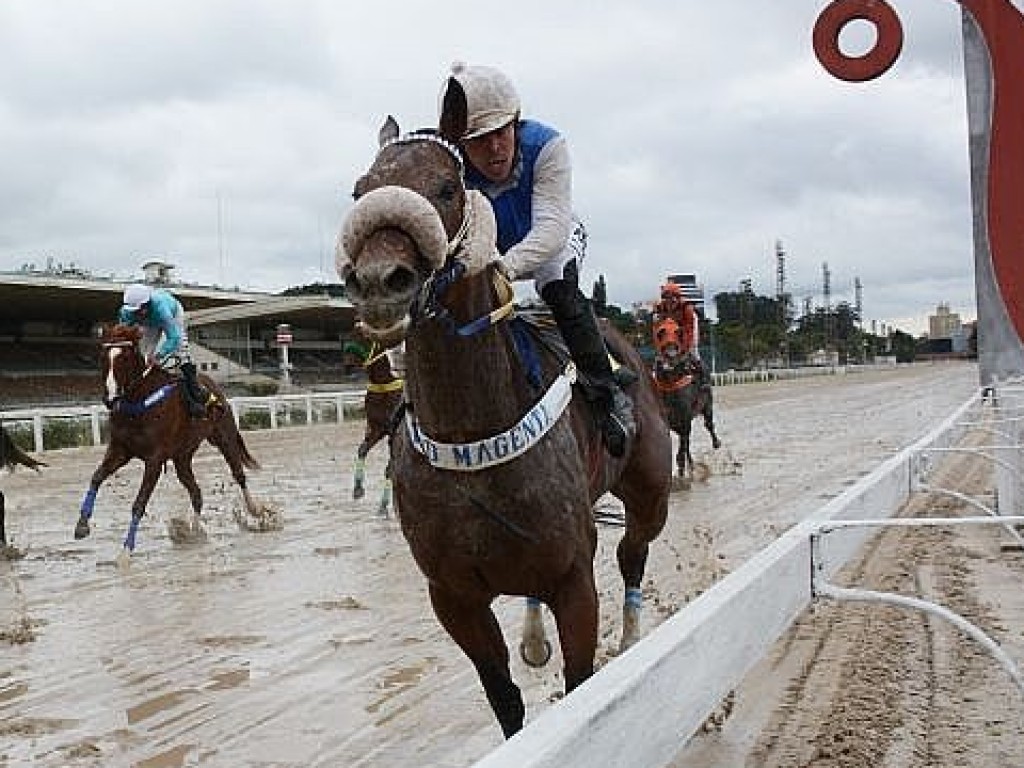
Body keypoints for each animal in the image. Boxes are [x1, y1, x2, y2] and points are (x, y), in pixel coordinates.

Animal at [73, 327, 262, 557]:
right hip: (182, 457)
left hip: (224, 437)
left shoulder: (154, 458)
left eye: (125, 357)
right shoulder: (120, 449)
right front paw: (82, 525)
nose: (110, 399)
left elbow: (139, 503)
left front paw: (126, 552)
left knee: (238, 474)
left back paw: (255, 511)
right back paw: (194, 532)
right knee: (196, 492)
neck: (138, 404)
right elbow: (97, 477)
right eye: (102, 357)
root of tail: (213, 385)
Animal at [350, 339, 401, 514]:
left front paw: (384, 505)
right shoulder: (377, 428)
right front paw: (358, 489)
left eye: (364, 339)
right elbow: (362, 449)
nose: (348, 367)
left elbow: (390, 468)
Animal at [655, 315, 720, 483]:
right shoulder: (670, 420)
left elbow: (681, 451)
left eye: (678, 332)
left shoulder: (685, 418)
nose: (670, 354)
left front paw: (681, 475)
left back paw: (716, 443)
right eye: (661, 332)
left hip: (707, 405)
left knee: (708, 425)